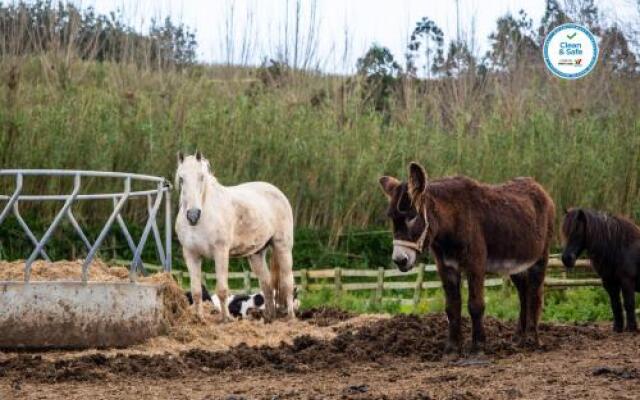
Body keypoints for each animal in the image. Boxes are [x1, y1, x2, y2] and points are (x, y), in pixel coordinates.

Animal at [174, 151, 296, 322]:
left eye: (201, 177)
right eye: (181, 178)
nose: (193, 215)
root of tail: (277, 191)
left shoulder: (221, 252)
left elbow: (222, 289)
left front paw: (226, 319)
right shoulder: (191, 255)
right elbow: (196, 291)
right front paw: (200, 319)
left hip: (282, 247)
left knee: (287, 282)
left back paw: (290, 317)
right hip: (256, 254)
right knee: (267, 285)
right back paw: (269, 317)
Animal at [380, 161, 556, 354]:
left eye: (411, 216)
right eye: (391, 219)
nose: (399, 260)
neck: (451, 225)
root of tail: (538, 186)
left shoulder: (475, 265)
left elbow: (475, 305)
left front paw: (478, 346)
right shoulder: (446, 267)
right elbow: (451, 307)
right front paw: (452, 348)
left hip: (540, 257)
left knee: (534, 294)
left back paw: (532, 339)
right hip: (516, 263)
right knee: (524, 293)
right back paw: (519, 338)